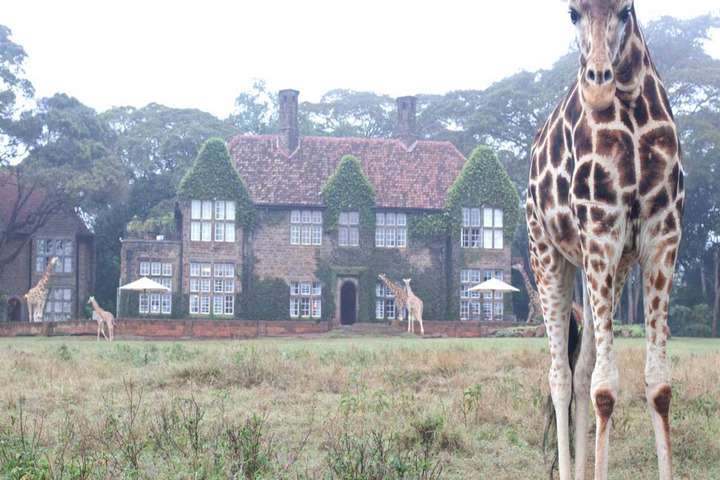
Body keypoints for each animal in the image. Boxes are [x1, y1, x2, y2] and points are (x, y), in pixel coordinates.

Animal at [526, 2, 684, 479]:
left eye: (626, 9)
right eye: (572, 13)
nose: (598, 84)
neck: (630, 103)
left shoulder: (662, 235)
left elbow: (658, 385)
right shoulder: (601, 228)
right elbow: (605, 388)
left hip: (608, 270)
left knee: (581, 368)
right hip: (547, 254)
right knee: (560, 376)